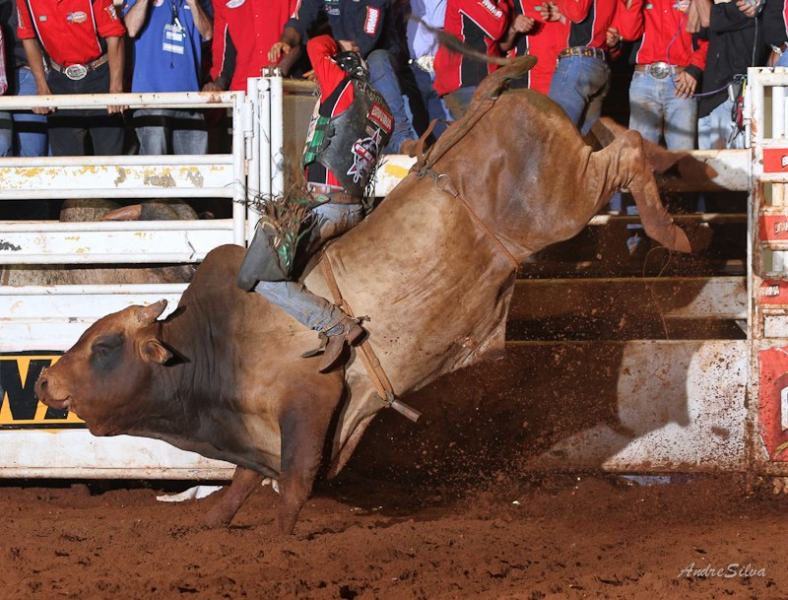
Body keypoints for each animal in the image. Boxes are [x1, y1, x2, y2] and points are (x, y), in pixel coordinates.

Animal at [32, 57, 708, 536]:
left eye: (104, 346)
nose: (42, 380)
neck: (211, 350)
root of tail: (494, 103)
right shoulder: (256, 431)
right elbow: (246, 478)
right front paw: (212, 520)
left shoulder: (311, 400)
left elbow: (294, 481)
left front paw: (278, 539)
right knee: (613, 134)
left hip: (563, 201)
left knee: (622, 157)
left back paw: (669, 228)